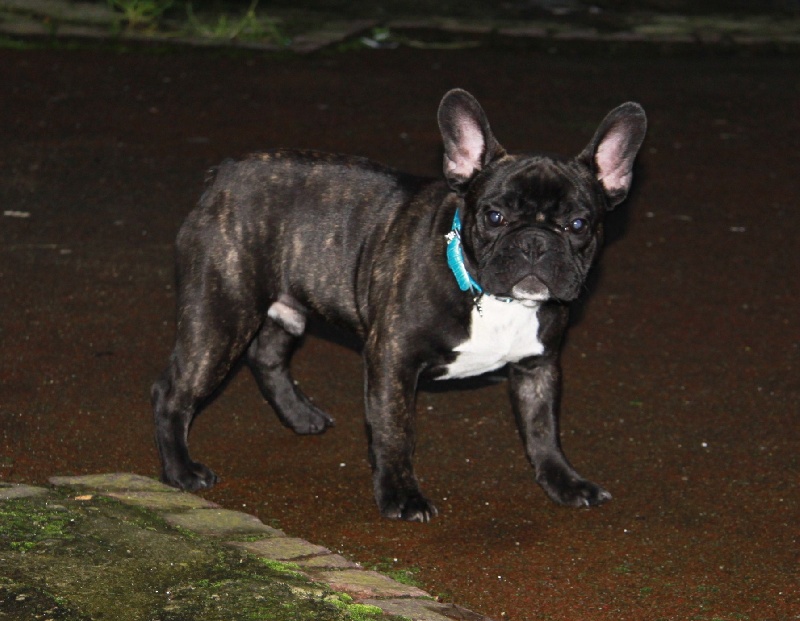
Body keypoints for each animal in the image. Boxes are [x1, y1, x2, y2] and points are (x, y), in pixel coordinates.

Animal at [153, 89, 648, 520]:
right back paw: (181, 472)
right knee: (174, 390)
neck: (490, 294)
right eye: (494, 216)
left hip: (283, 305)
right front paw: (401, 496)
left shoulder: (538, 366)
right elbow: (395, 431)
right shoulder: (392, 359)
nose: (534, 243)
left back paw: (300, 415)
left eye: (579, 224)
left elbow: (544, 430)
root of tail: (224, 174)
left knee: (266, 354)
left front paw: (564, 482)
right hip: (222, 317)